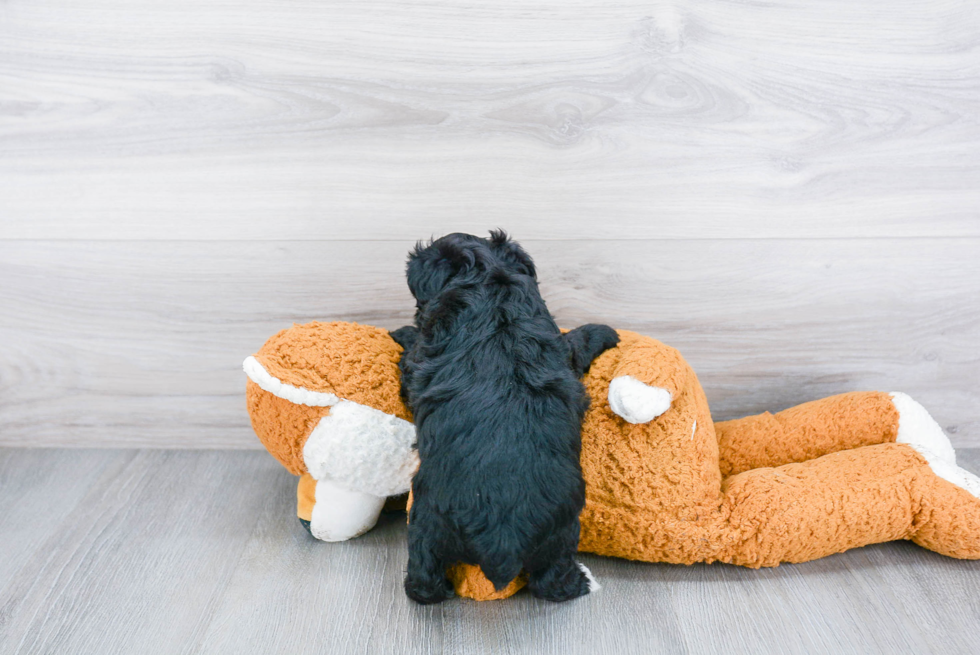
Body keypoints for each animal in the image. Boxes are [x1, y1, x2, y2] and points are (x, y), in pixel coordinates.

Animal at [386, 231, 616, 604]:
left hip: (427, 520)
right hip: (558, 532)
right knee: (550, 582)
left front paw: (403, 332)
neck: (490, 280)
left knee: (425, 578)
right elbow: (575, 343)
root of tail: (501, 541)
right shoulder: (559, 346)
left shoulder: (419, 363)